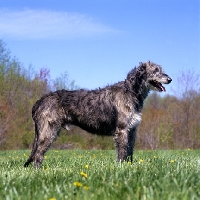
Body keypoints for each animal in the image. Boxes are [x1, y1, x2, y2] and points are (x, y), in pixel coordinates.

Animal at [24, 60, 172, 167]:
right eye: (155, 71)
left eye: (161, 69)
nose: (170, 79)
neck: (131, 91)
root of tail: (40, 101)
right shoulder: (122, 130)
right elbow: (122, 152)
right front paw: (122, 168)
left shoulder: (132, 130)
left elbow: (129, 151)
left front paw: (130, 166)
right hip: (48, 132)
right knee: (38, 154)